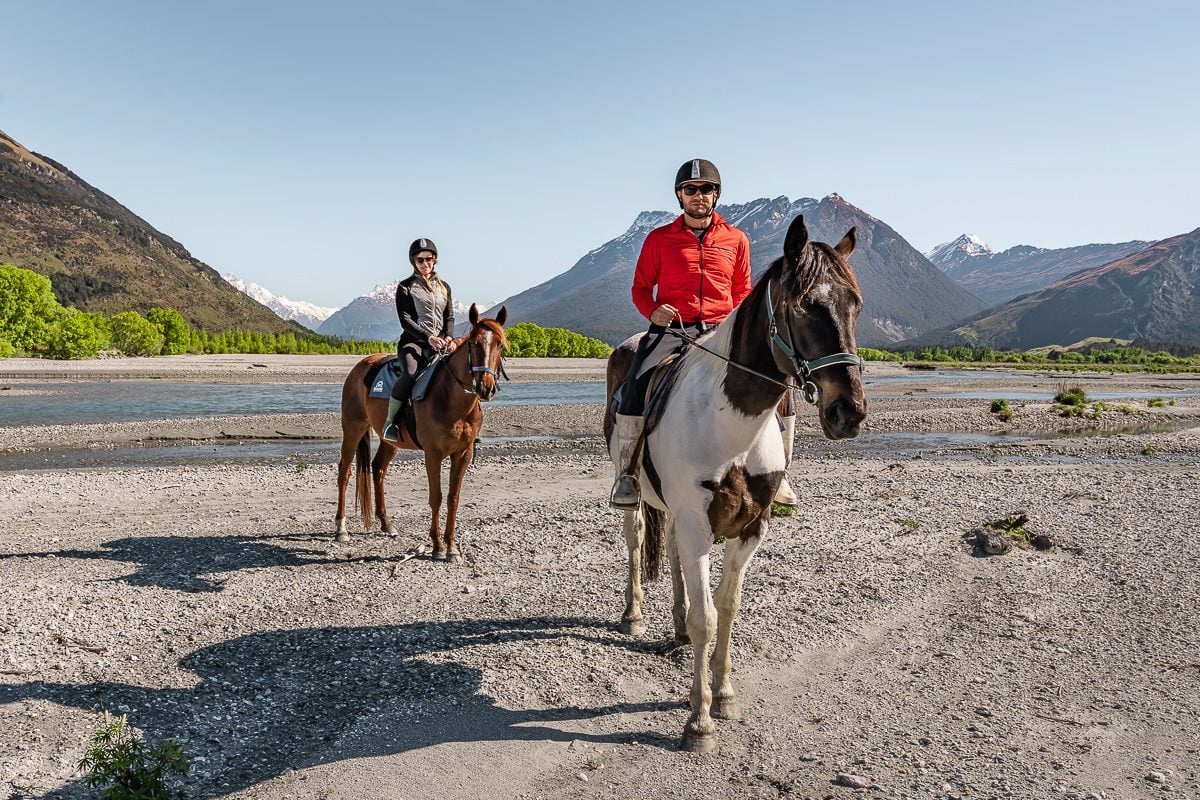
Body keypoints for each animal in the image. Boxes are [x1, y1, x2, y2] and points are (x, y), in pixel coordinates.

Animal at [336, 303, 508, 561]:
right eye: (474, 343)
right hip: (353, 429)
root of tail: (360, 367)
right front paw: (437, 546)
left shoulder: (463, 454)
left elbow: (453, 498)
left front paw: (452, 547)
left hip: (390, 440)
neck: (452, 400)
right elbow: (436, 497)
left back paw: (386, 523)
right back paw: (341, 528)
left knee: (378, 469)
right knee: (344, 473)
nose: (485, 387)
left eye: (500, 345)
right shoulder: (432, 454)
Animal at [604, 215, 868, 753]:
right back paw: (634, 614)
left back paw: (676, 627)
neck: (731, 427)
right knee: (637, 540)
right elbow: (707, 617)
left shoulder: (749, 527)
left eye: (855, 304)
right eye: (806, 304)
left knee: (674, 559)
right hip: (637, 498)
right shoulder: (698, 525)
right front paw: (698, 721)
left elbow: (727, 607)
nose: (848, 412)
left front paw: (723, 694)